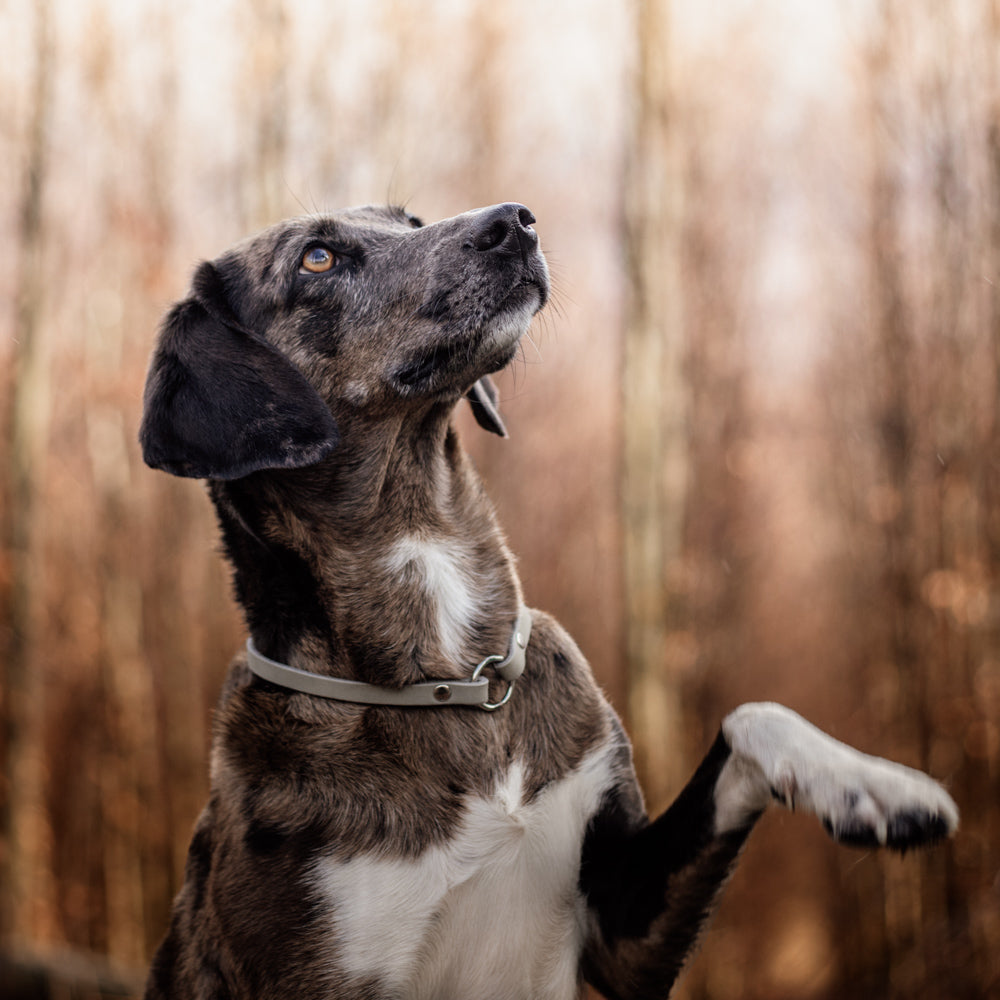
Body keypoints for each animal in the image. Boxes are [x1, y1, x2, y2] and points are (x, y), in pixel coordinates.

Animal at [137, 203, 956, 1000]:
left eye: (410, 221)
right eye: (318, 259)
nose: (514, 221)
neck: (457, 681)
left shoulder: (623, 926)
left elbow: (752, 717)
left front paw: (875, 787)